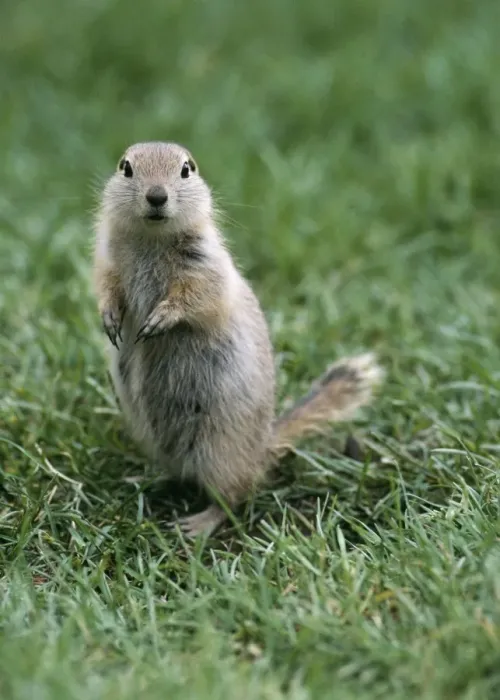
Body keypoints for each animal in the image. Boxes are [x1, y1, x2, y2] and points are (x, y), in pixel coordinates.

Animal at [93, 141, 383, 537]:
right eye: (126, 168)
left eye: (186, 169)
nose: (156, 196)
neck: (151, 238)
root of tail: (262, 448)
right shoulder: (106, 260)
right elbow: (106, 288)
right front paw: (109, 319)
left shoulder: (206, 268)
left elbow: (195, 297)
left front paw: (159, 321)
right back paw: (143, 479)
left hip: (220, 451)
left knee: (232, 497)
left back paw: (197, 524)